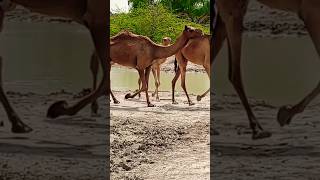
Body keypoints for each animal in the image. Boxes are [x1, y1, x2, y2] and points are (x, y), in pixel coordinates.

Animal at [0, 0, 109, 133]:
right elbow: (104, 78)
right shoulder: (97, 17)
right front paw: (59, 108)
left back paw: (18, 124)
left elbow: (99, 68)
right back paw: (20, 124)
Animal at [215, 0, 320, 139]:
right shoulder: (310, 11)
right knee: (234, 72)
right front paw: (285, 114)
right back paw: (257, 129)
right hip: (233, 9)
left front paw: (285, 114)